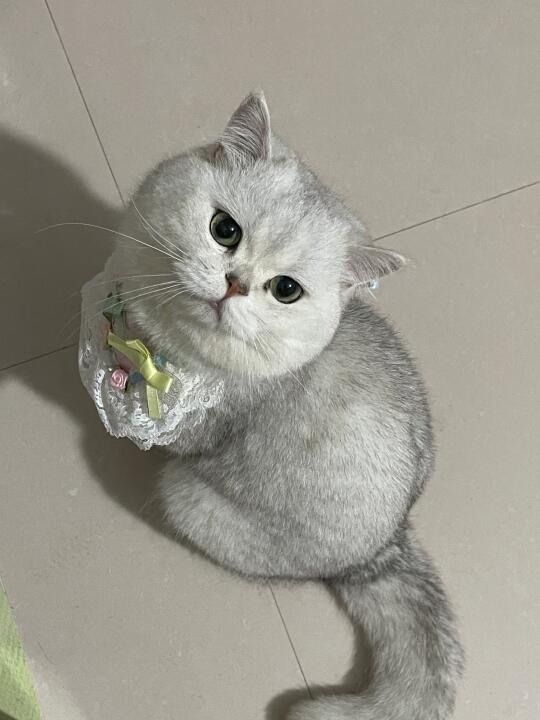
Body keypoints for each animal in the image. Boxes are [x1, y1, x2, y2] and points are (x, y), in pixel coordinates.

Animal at [111, 92, 464, 719]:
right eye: (224, 230)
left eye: (286, 290)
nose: (234, 283)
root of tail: (386, 548)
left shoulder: (189, 425)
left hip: (187, 499)